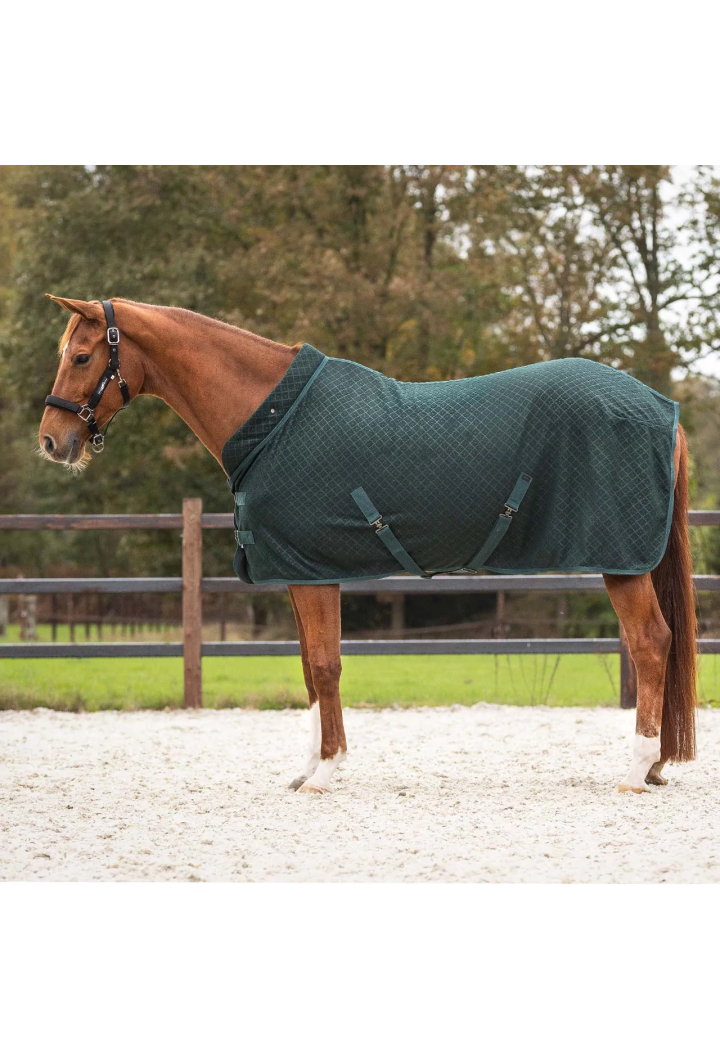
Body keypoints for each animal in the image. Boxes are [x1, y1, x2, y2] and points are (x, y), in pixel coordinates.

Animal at [38, 295, 697, 795]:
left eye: (81, 356)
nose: (50, 441)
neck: (272, 421)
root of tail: (661, 409)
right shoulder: (300, 572)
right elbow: (310, 668)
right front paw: (308, 768)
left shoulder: (313, 570)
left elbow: (326, 666)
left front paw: (327, 772)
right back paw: (655, 765)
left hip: (621, 562)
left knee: (650, 642)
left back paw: (637, 769)